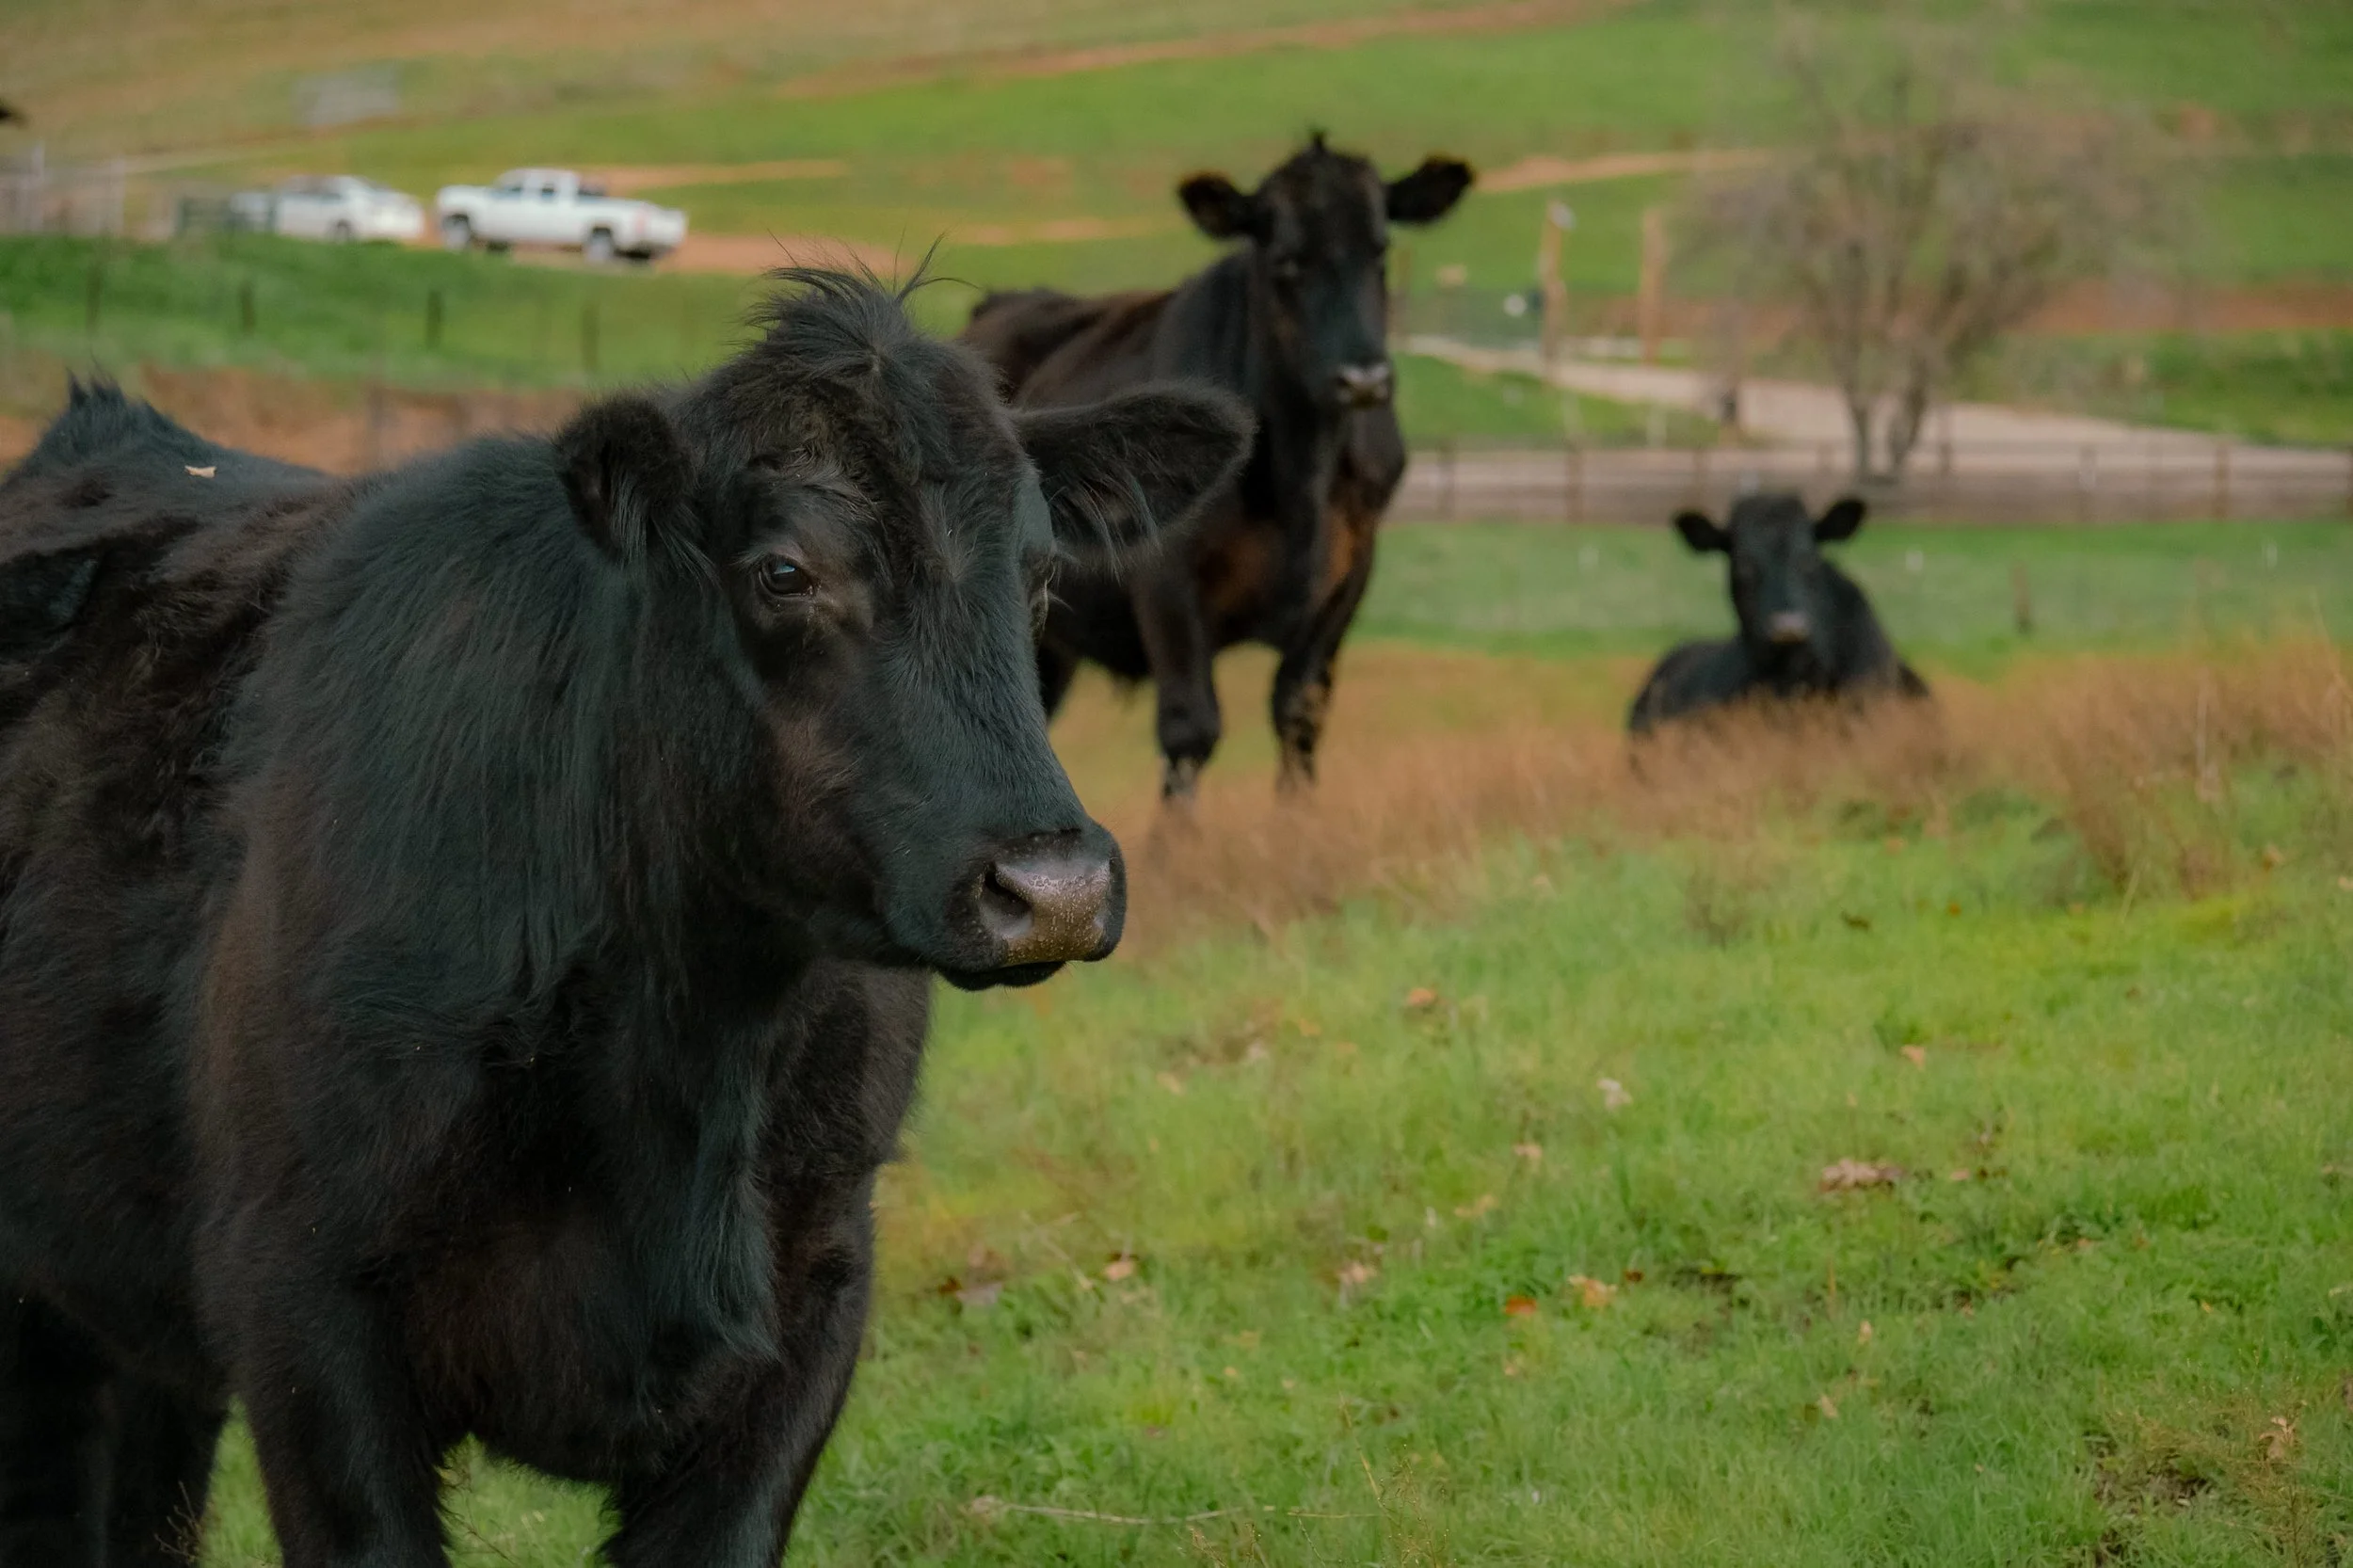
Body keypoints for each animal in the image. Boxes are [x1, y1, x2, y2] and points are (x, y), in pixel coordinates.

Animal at [962, 133, 1473, 797]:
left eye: (1380, 250)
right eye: (1285, 260)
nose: (1363, 379)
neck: (1300, 477)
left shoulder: (1349, 576)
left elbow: (1299, 717)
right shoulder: (1165, 580)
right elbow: (1190, 728)